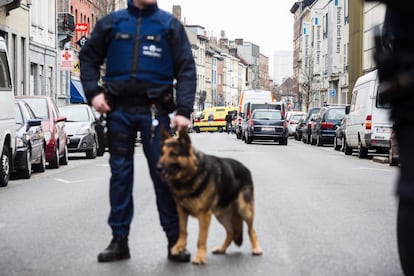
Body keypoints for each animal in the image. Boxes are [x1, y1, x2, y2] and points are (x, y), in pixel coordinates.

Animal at [158, 128, 262, 264]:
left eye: (173, 154)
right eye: (162, 153)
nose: (158, 167)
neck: (191, 175)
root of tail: (245, 168)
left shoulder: (204, 216)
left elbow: (201, 238)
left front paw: (200, 257)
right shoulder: (181, 212)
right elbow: (182, 231)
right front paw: (178, 247)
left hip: (244, 210)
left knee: (251, 230)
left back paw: (256, 248)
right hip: (221, 214)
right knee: (231, 232)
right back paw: (221, 249)